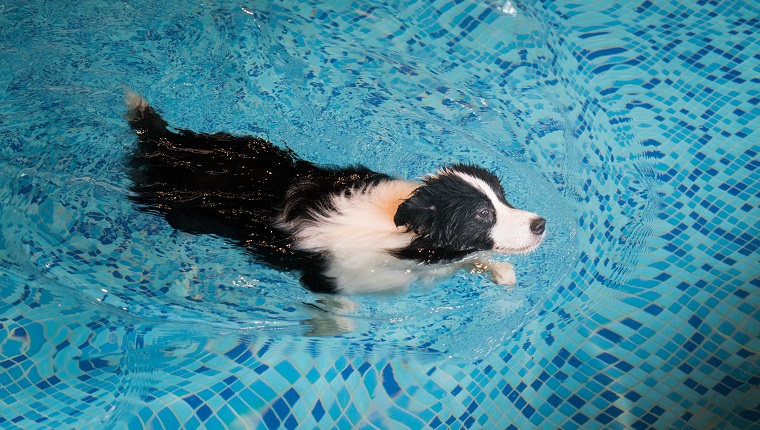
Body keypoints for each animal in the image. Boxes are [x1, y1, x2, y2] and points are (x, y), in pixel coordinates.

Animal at [124, 93, 544, 296]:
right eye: (482, 215)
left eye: (504, 198)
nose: (541, 224)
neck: (397, 227)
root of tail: (165, 143)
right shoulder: (328, 275)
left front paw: (499, 272)